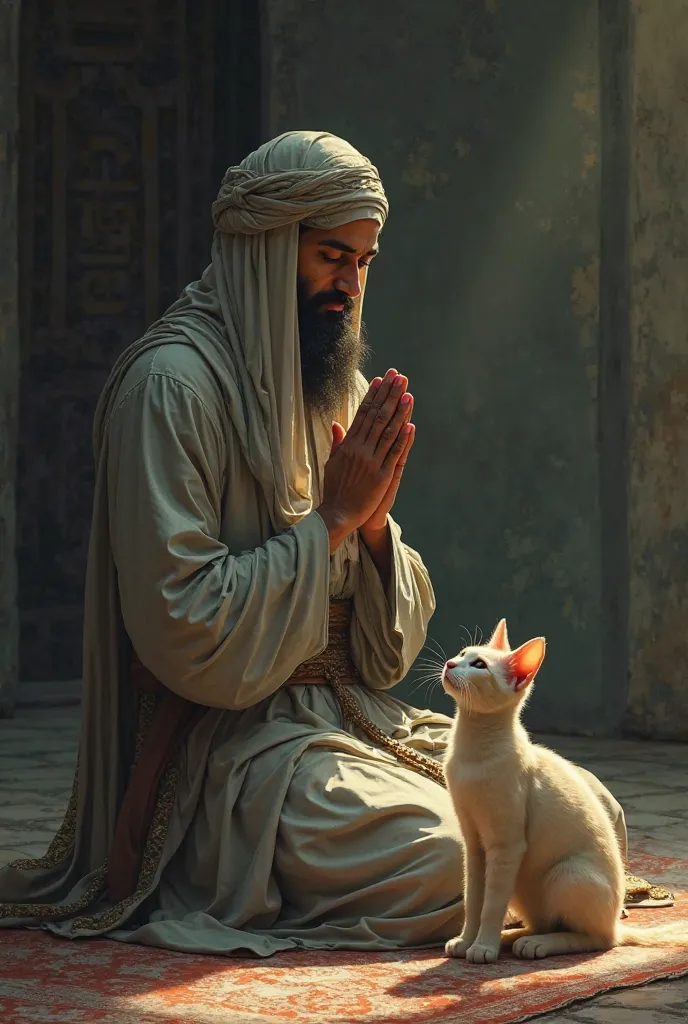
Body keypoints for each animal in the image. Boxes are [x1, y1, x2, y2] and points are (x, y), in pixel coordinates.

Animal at [444, 618, 683, 962]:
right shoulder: (474, 845)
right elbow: (474, 899)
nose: (450, 664)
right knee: (545, 923)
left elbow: (491, 904)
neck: (472, 751)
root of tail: (616, 921)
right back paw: (517, 937)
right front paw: (466, 941)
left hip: (566, 873)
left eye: (479, 666)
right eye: (462, 654)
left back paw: (536, 944)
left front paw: (483, 947)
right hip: (526, 886)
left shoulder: (506, 845)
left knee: (598, 939)